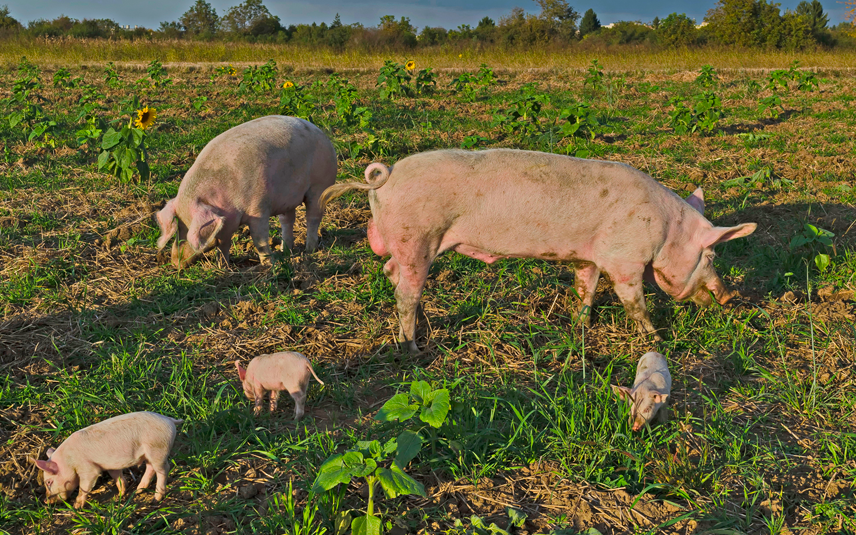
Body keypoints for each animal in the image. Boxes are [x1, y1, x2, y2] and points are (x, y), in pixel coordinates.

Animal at [157, 115, 338, 270]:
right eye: (178, 227)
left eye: (188, 228)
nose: (175, 262)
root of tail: (319, 131)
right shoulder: (225, 227)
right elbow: (223, 247)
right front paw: (223, 267)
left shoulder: (259, 209)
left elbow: (259, 240)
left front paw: (268, 265)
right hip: (287, 199)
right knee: (287, 221)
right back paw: (285, 251)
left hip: (319, 186)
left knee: (313, 217)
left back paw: (309, 250)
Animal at [320, 149, 756, 354]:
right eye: (711, 256)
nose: (730, 297)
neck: (665, 232)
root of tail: (385, 179)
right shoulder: (624, 260)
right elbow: (635, 302)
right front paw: (657, 340)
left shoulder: (588, 256)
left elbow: (585, 288)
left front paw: (580, 328)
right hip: (418, 238)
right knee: (405, 292)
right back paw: (412, 347)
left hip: (408, 244)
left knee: (391, 273)